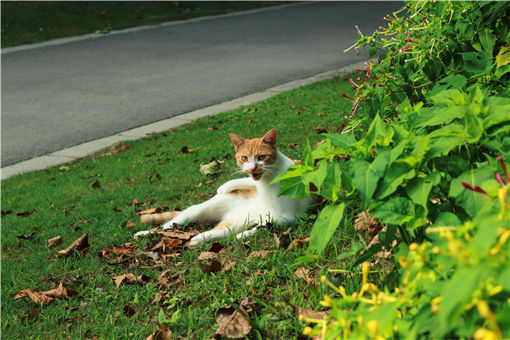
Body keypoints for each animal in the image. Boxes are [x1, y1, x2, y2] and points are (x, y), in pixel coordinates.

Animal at [133, 129, 312, 246]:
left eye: (262, 157)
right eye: (244, 158)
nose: (252, 168)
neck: (266, 182)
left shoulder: (288, 217)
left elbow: (265, 226)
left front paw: (243, 235)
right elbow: (244, 181)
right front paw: (224, 187)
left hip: (237, 222)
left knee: (222, 232)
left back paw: (199, 239)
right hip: (195, 212)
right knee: (164, 227)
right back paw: (143, 234)